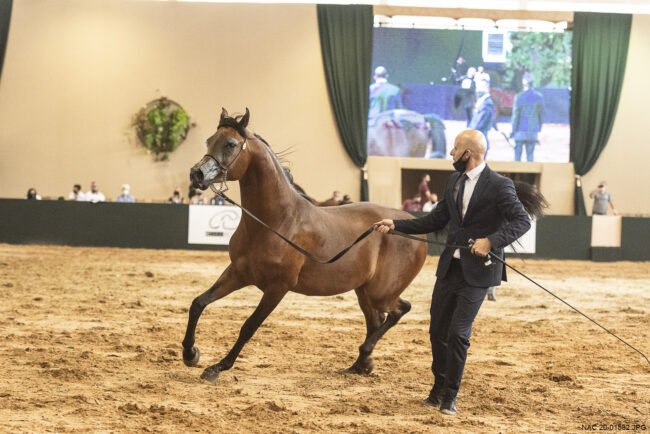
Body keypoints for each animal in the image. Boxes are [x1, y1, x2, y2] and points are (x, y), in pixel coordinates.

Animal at [183, 108, 428, 382]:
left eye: (230, 144)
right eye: (209, 141)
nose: (197, 174)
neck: (276, 223)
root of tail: (409, 225)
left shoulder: (277, 288)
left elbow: (248, 327)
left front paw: (217, 367)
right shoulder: (238, 273)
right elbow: (198, 303)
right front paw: (190, 354)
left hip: (381, 293)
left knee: (399, 310)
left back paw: (364, 355)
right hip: (363, 290)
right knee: (376, 321)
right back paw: (360, 364)